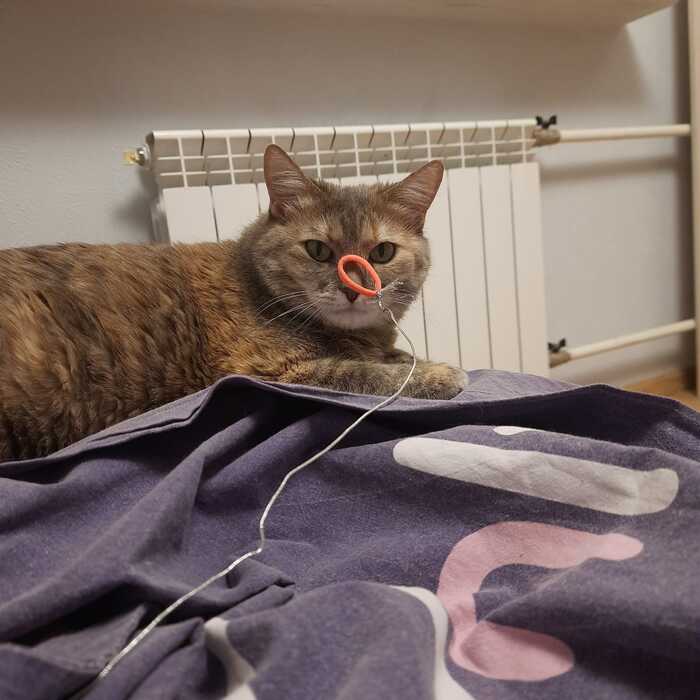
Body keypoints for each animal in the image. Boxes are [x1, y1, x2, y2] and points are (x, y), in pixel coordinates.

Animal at [0, 145, 465, 461]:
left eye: (383, 252)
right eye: (317, 250)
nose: (354, 290)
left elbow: (395, 357)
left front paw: (414, 360)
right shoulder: (270, 371)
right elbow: (361, 373)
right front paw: (441, 375)